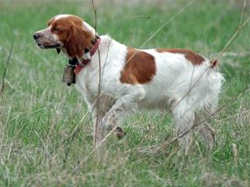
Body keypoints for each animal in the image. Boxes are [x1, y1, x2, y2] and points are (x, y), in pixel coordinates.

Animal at [33, 13, 225, 153]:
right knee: (210, 133)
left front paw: (118, 131)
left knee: (187, 141)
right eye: (48, 24)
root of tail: (208, 63)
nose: (35, 35)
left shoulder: (132, 93)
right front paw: (97, 156)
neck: (93, 55)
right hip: (193, 113)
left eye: (57, 28)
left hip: (182, 110)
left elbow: (108, 121)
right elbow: (98, 131)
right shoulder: (96, 104)